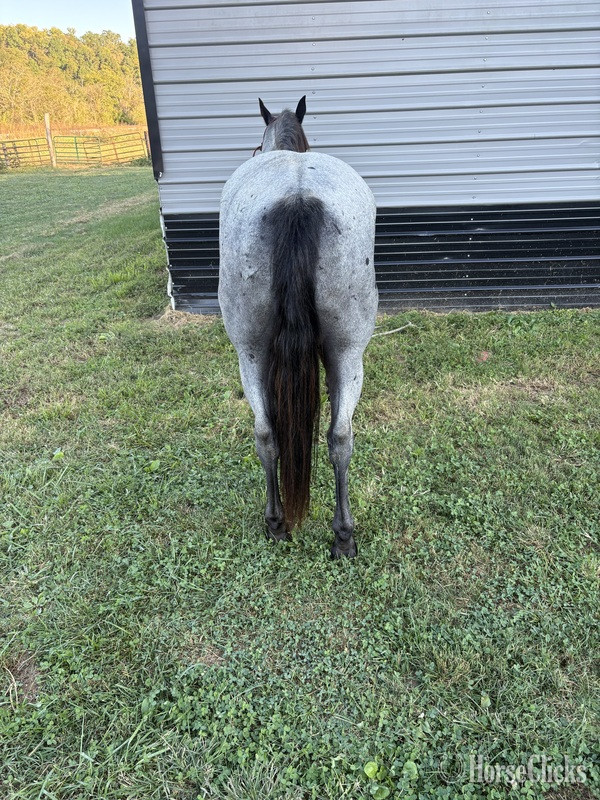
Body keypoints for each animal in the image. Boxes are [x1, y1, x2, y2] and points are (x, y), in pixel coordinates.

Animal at [218, 96, 377, 558]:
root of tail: (297, 198)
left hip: (253, 351)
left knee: (273, 434)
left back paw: (283, 524)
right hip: (346, 352)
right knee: (337, 437)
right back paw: (339, 534)